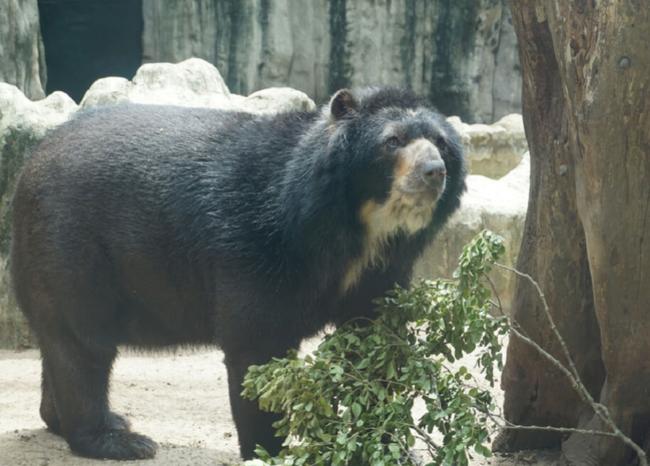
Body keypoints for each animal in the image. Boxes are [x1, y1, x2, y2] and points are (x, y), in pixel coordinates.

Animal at [10, 87, 466, 461]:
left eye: (441, 143)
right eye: (392, 141)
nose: (433, 171)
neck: (355, 229)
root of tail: (28, 166)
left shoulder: (381, 271)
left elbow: (375, 343)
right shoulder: (257, 245)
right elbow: (256, 346)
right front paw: (269, 449)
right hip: (72, 247)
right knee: (83, 343)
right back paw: (118, 440)